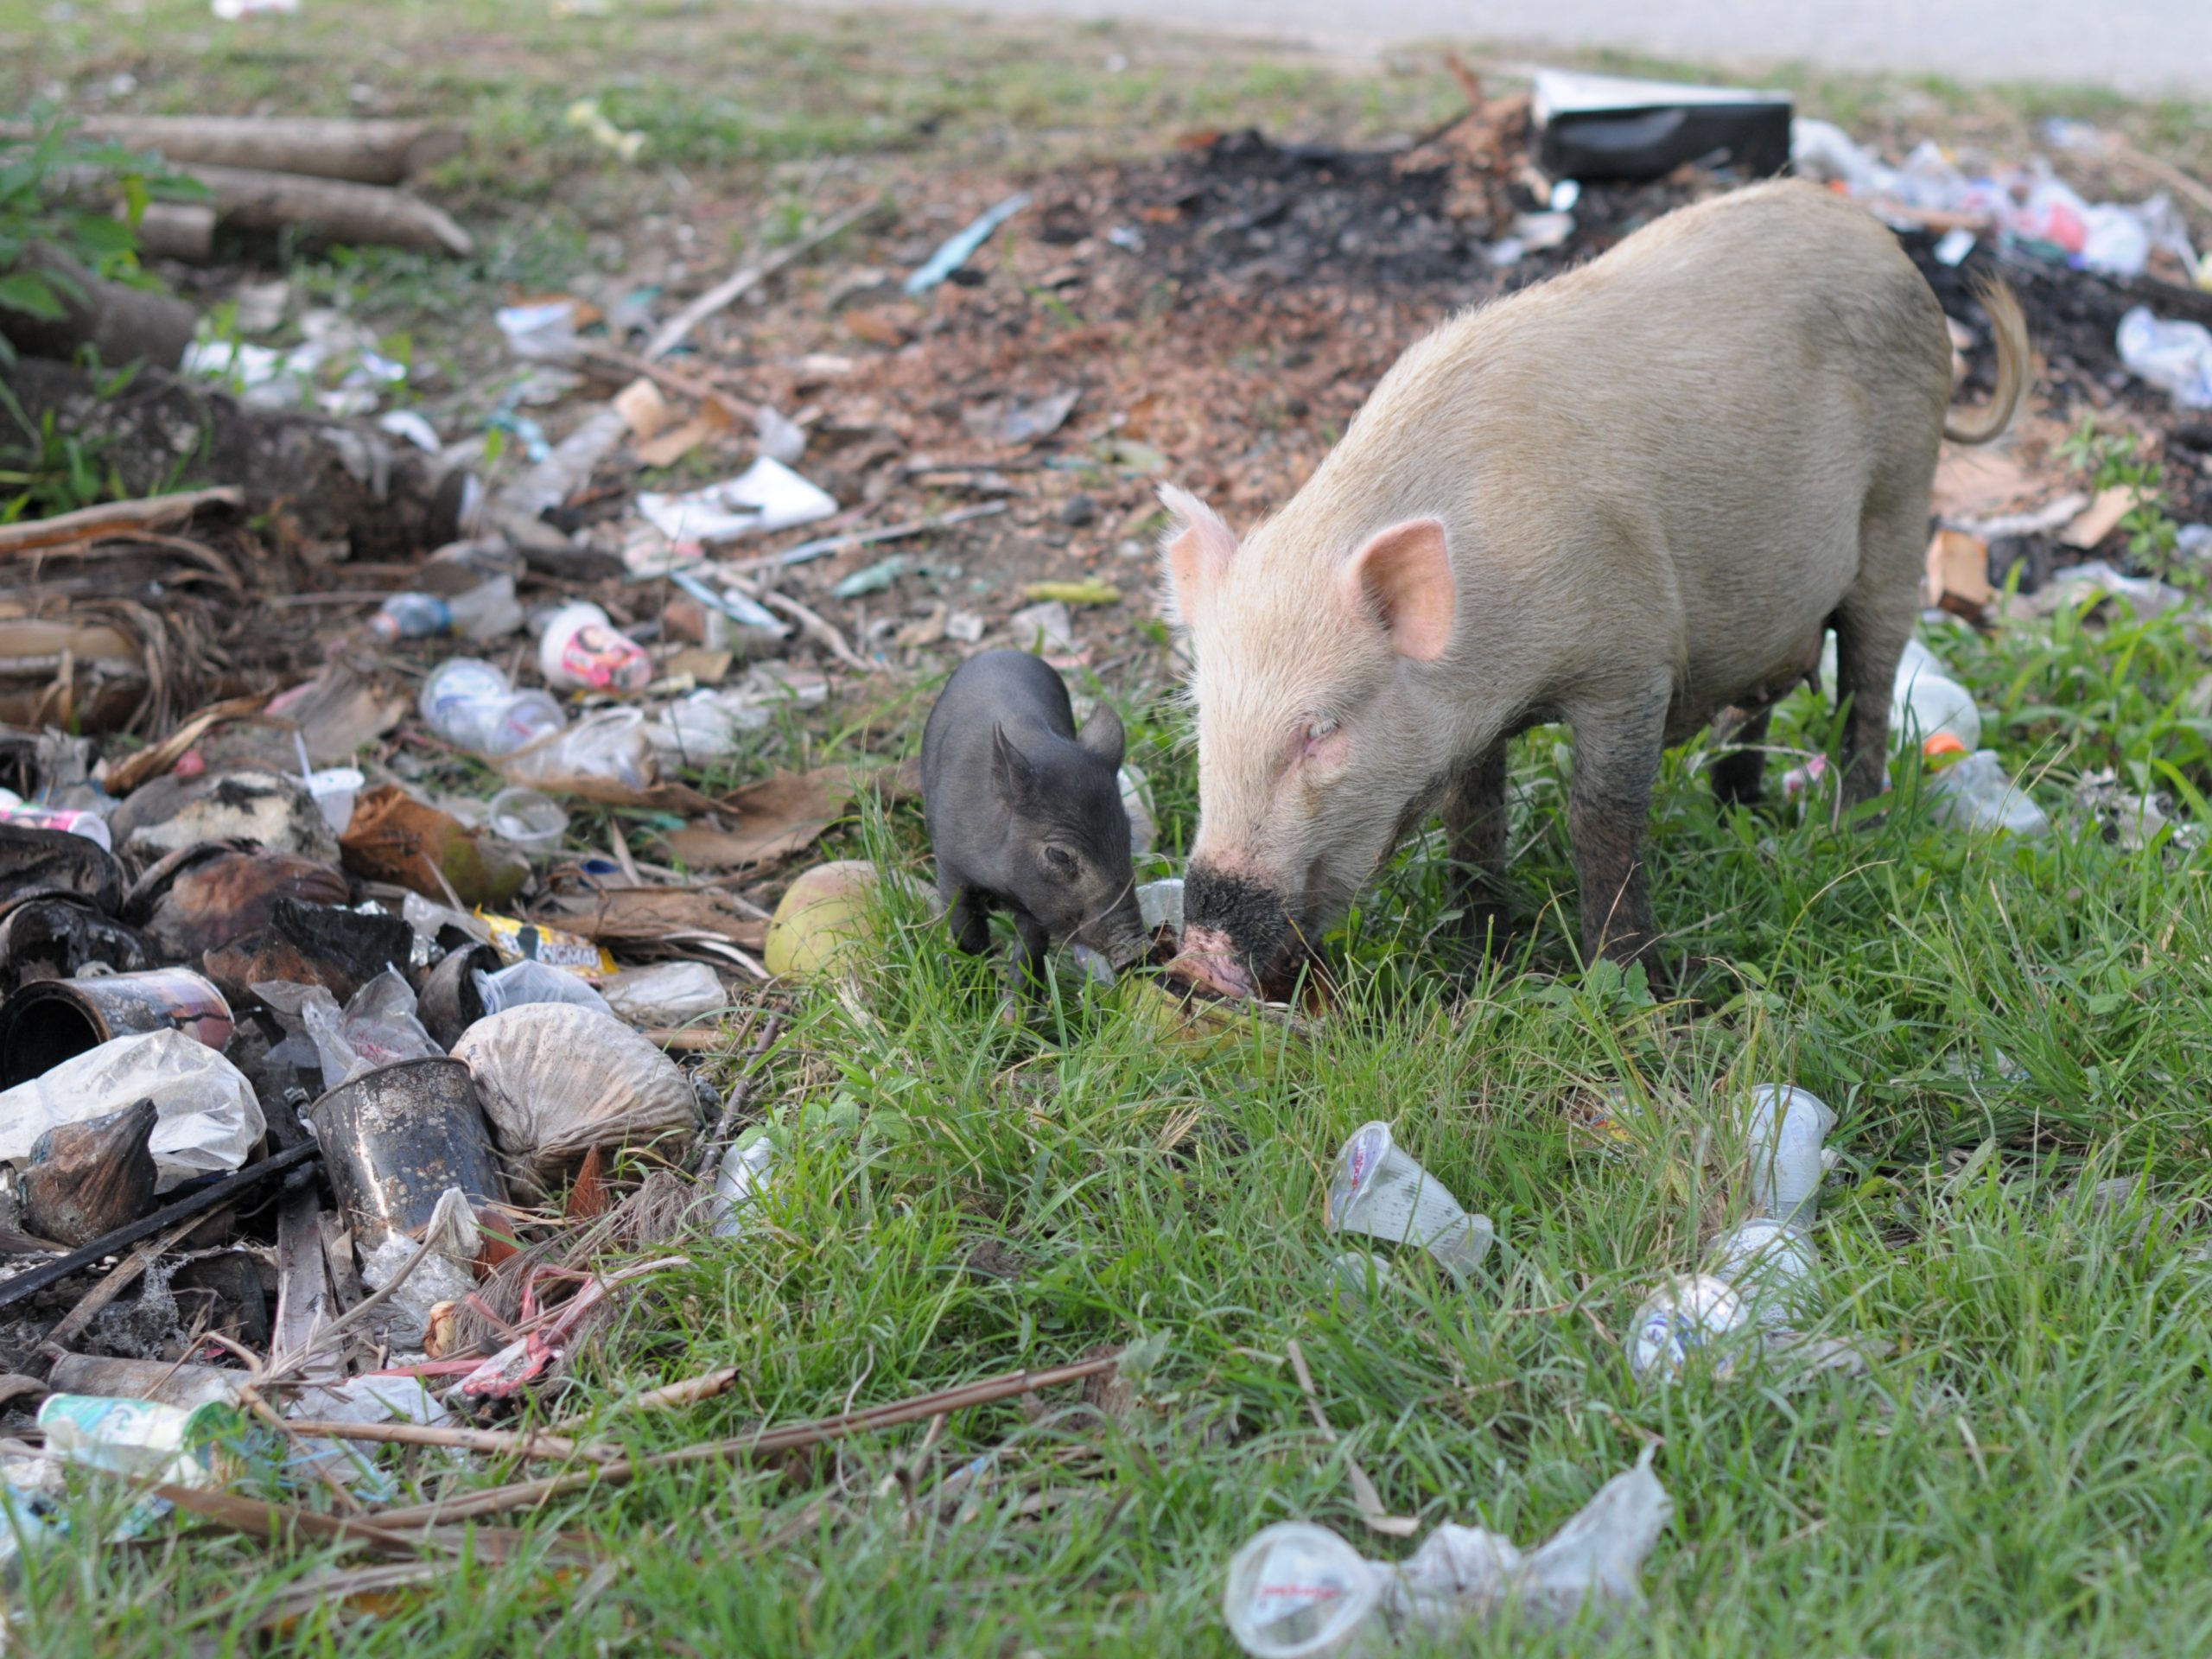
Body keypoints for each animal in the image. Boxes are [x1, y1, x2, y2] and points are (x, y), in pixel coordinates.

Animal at [921, 649, 1148, 986]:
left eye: (1127, 835)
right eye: (1059, 854)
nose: (1139, 950)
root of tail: (1001, 650)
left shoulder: (1038, 903)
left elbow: (1030, 950)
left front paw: (1017, 1002)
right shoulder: (951, 871)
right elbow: (967, 934)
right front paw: (977, 990)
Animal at [1160, 179, 2028, 998]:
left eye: (1321, 730)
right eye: (1204, 717)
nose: (1195, 959)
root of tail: (1887, 243)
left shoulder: (1631, 661)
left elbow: (1602, 820)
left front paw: (1637, 983)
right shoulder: (1472, 717)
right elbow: (1473, 821)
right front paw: (1477, 958)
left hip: (1902, 499)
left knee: (1869, 686)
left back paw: (1849, 835)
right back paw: (1738, 808)